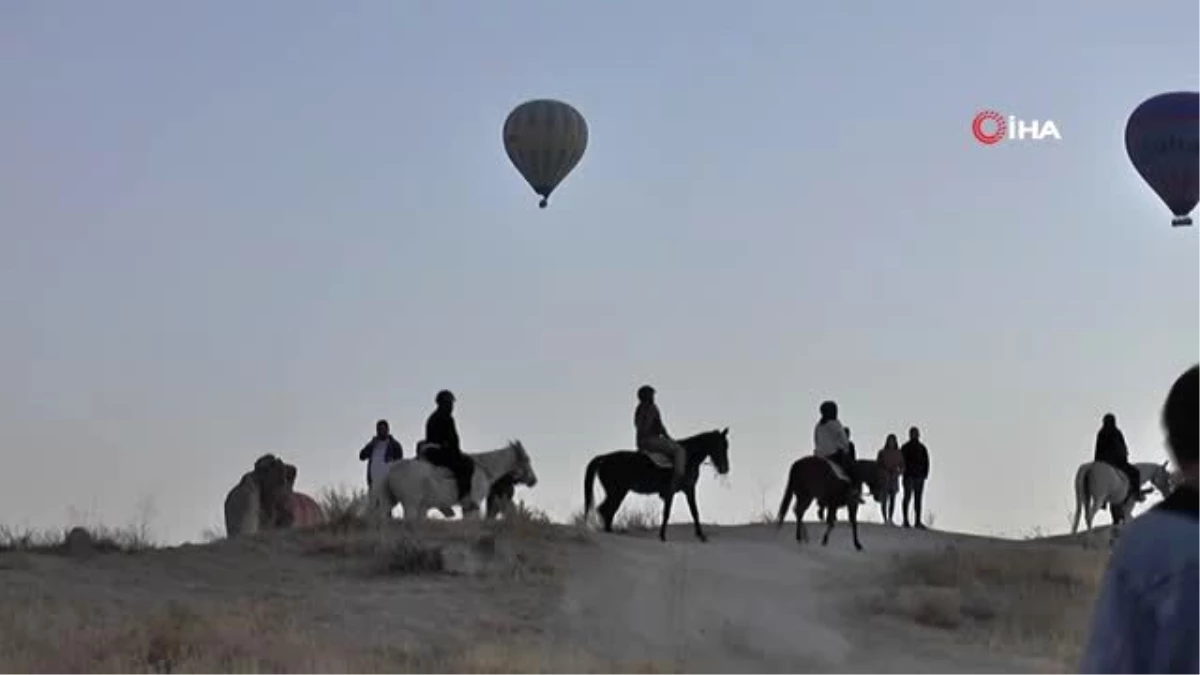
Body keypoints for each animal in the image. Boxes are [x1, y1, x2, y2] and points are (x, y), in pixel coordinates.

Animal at [364, 441, 535, 521]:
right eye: (527, 459)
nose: (533, 480)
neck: (484, 468)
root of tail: (390, 469)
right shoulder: (474, 503)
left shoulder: (467, 506)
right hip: (410, 504)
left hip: (389, 500)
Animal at [580, 429, 729, 540]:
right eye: (721, 446)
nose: (725, 469)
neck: (688, 458)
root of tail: (604, 457)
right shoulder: (672, 491)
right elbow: (667, 513)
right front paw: (662, 537)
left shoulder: (689, 490)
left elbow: (694, 512)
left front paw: (701, 536)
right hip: (617, 491)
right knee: (607, 511)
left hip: (616, 492)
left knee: (606, 511)